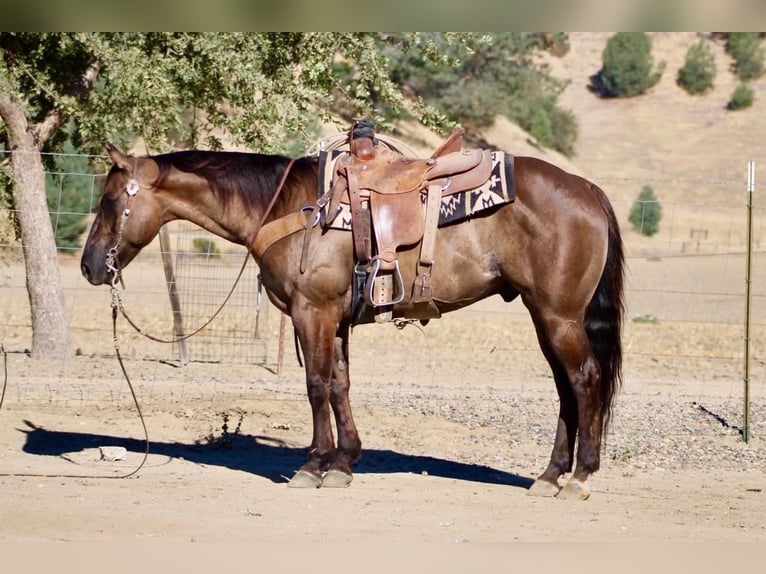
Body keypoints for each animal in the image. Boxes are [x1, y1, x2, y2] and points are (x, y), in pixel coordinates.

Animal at [80, 136, 624, 500]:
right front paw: (343, 462)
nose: (89, 266)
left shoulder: (313, 311)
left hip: (559, 316)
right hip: (544, 315)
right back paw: (550, 475)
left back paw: (579, 477)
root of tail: (589, 189)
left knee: (584, 379)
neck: (286, 207)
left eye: (108, 200)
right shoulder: (336, 319)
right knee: (566, 389)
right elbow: (340, 384)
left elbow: (316, 384)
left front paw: (313, 464)